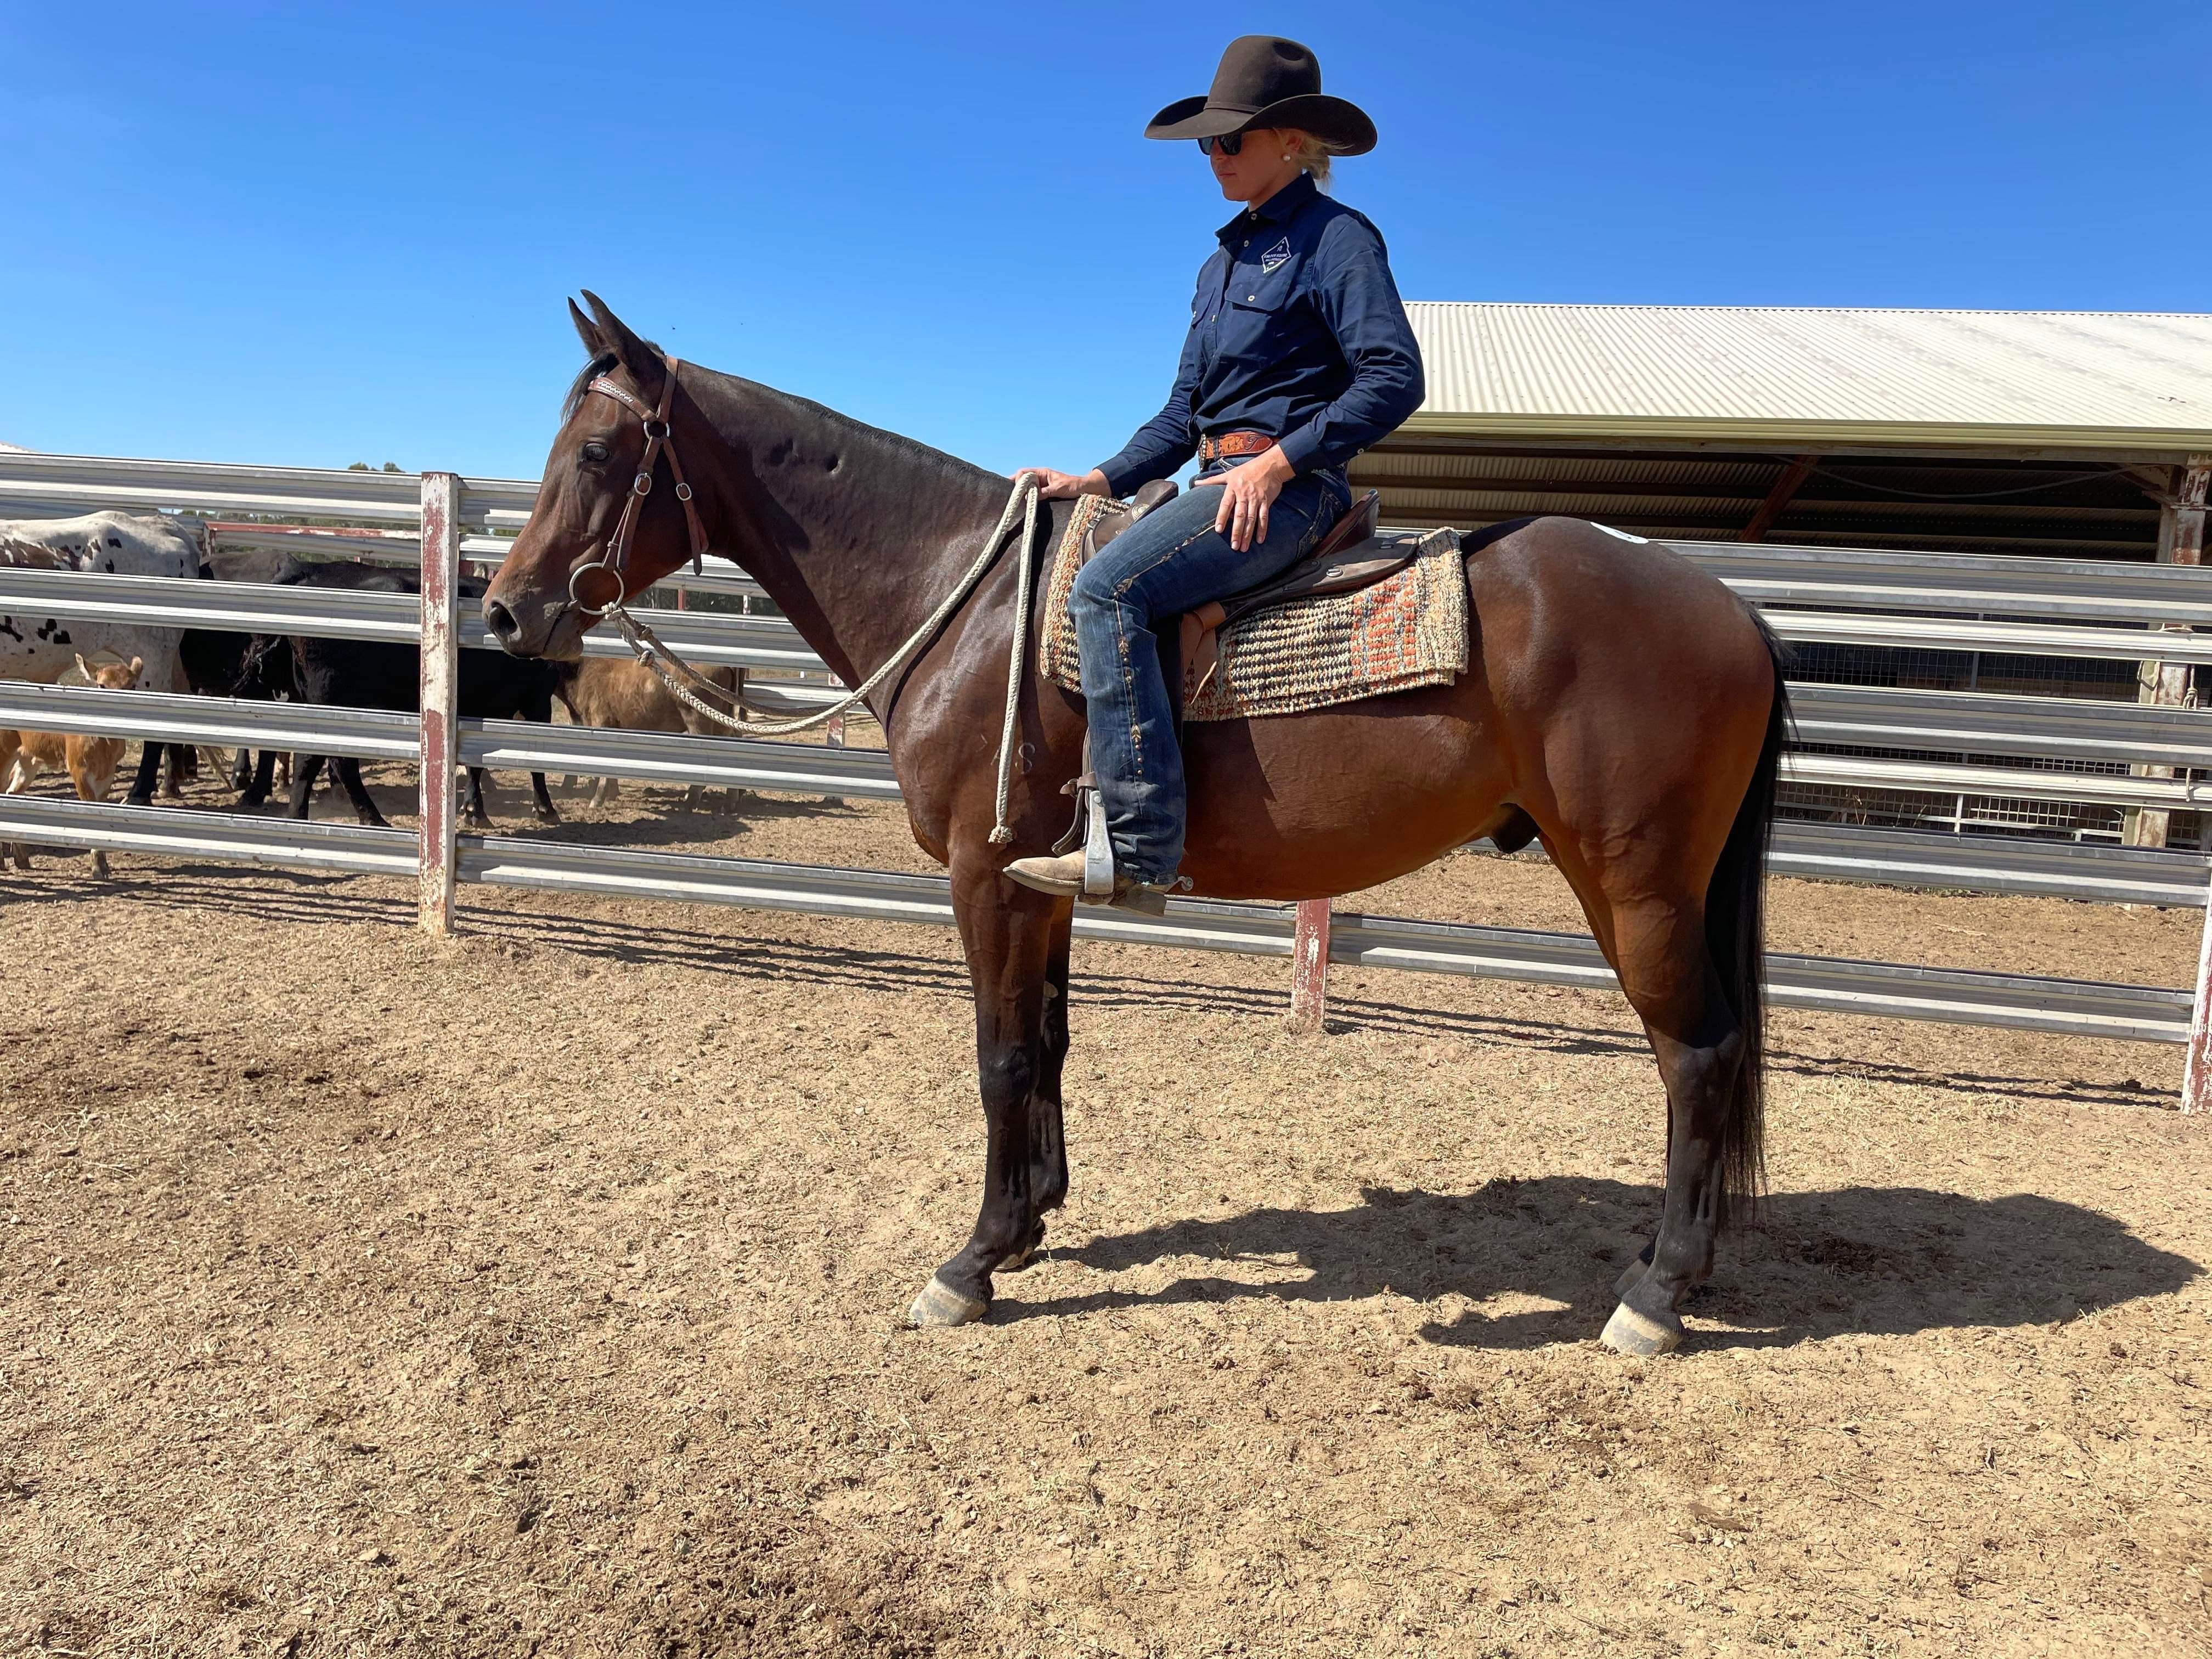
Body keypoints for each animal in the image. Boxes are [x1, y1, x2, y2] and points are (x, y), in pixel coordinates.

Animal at [2, 653, 146, 877]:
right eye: (102, 685)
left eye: (132, 685)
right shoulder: (79, 770)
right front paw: (98, 868)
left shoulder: (108, 774)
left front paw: (104, 866)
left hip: (27, 761)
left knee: (12, 793)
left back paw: (22, 859)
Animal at [231, 558, 562, 829]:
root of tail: (310, 569)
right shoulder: (537, 700)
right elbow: (533, 761)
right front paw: (544, 809)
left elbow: (475, 764)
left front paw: (473, 810)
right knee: (336, 762)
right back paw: (371, 818)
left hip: (307, 700)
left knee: (307, 759)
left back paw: (299, 815)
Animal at [482, 293, 1790, 1357]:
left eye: (597, 449)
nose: (504, 610)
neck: (969, 606)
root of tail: (1733, 612)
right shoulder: (1045, 880)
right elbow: (1051, 1043)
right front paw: (1033, 1221)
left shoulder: (986, 874)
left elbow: (1001, 1055)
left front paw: (973, 1261)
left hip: (1637, 888)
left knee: (1698, 1055)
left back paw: (1657, 1296)